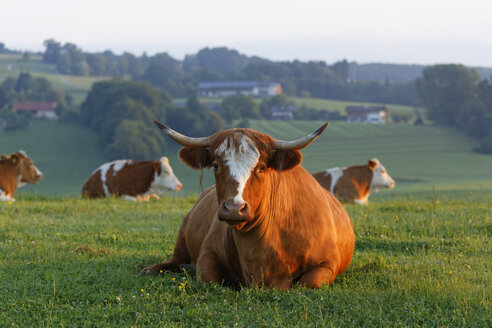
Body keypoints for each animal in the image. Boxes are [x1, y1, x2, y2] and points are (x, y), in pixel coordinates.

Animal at [140, 120, 356, 290]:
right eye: (216, 165)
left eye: (261, 167)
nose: (234, 208)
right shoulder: (207, 254)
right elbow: (209, 279)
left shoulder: (327, 263)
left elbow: (309, 283)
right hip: (182, 236)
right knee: (174, 261)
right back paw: (149, 270)